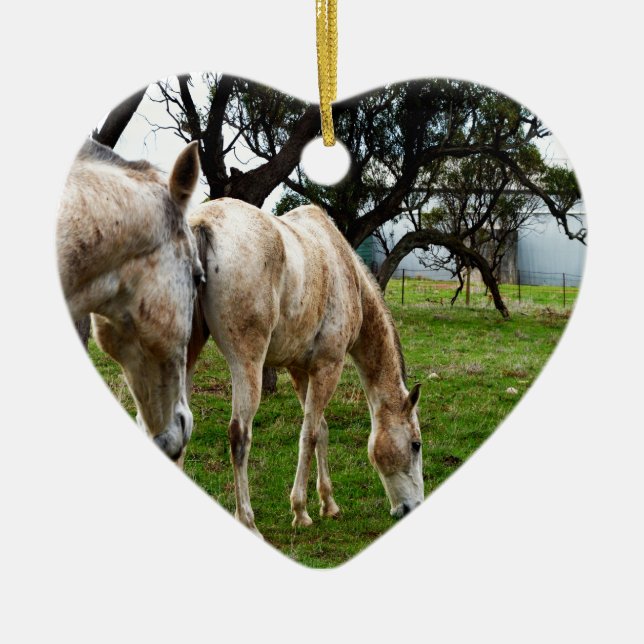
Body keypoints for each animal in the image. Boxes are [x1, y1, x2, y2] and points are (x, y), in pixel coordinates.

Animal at [187, 198, 424, 537]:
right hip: (247, 364)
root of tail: (202, 222)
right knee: (239, 435)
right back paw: (248, 521)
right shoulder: (328, 367)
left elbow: (320, 429)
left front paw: (329, 504)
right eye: (416, 445)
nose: (412, 507)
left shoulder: (299, 370)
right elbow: (309, 434)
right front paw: (301, 511)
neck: (346, 271)